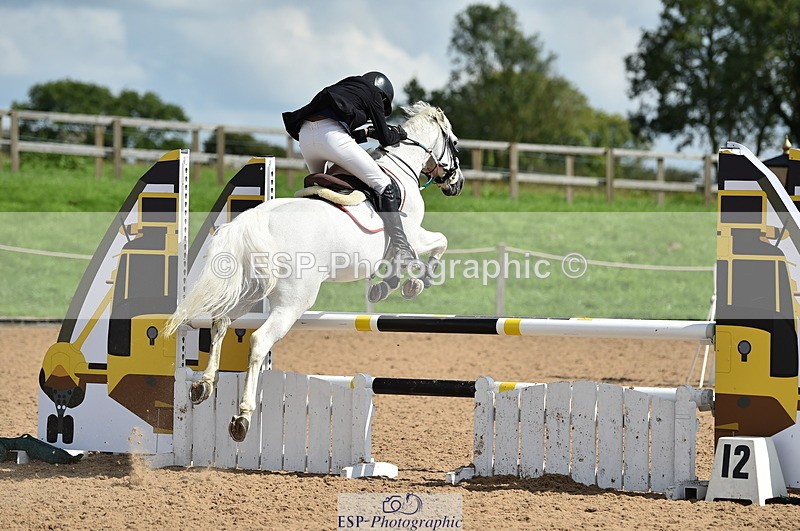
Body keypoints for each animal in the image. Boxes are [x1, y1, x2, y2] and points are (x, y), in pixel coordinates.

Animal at [164, 101, 464, 442]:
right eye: (454, 142)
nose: (458, 184)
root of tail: (255, 221)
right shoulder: (412, 233)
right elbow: (438, 243)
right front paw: (417, 282)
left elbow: (396, 263)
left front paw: (385, 286)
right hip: (293, 302)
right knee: (259, 340)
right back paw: (242, 417)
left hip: (250, 293)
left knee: (220, 323)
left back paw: (204, 384)